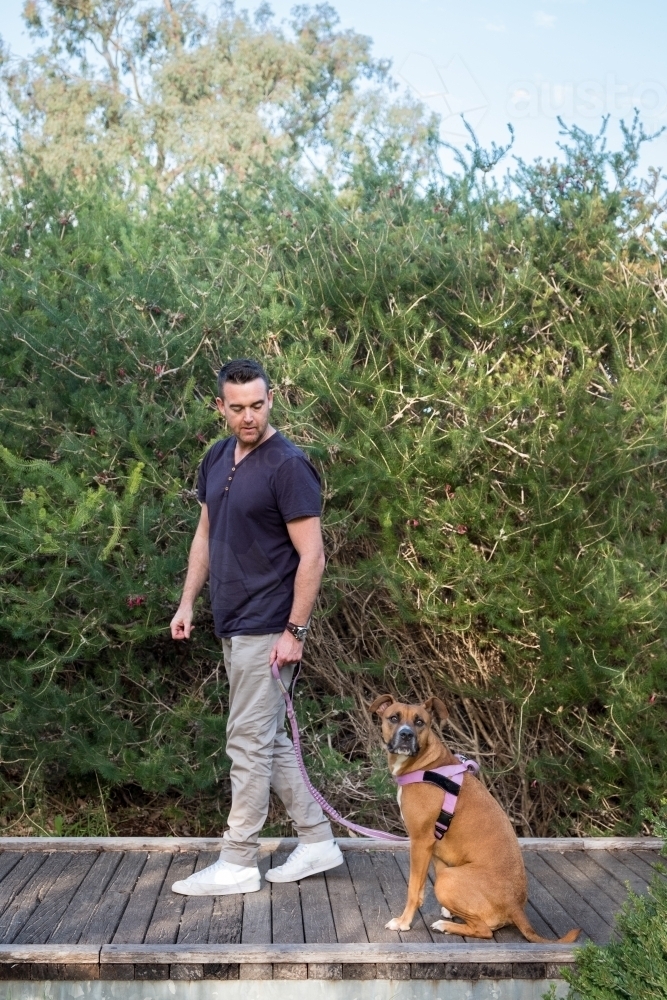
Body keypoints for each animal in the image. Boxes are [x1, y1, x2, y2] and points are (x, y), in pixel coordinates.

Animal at [370, 692, 580, 940]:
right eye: (393, 717)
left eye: (419, 722)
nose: (406, 734)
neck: (426, 765)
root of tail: (515, 906)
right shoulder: (436, 851)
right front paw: (447, 910)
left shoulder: (420, 842)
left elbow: (414, 889)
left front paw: (403, 922)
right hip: (449, 874)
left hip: (448, 880)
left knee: (484, 931)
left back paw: (445, 926)